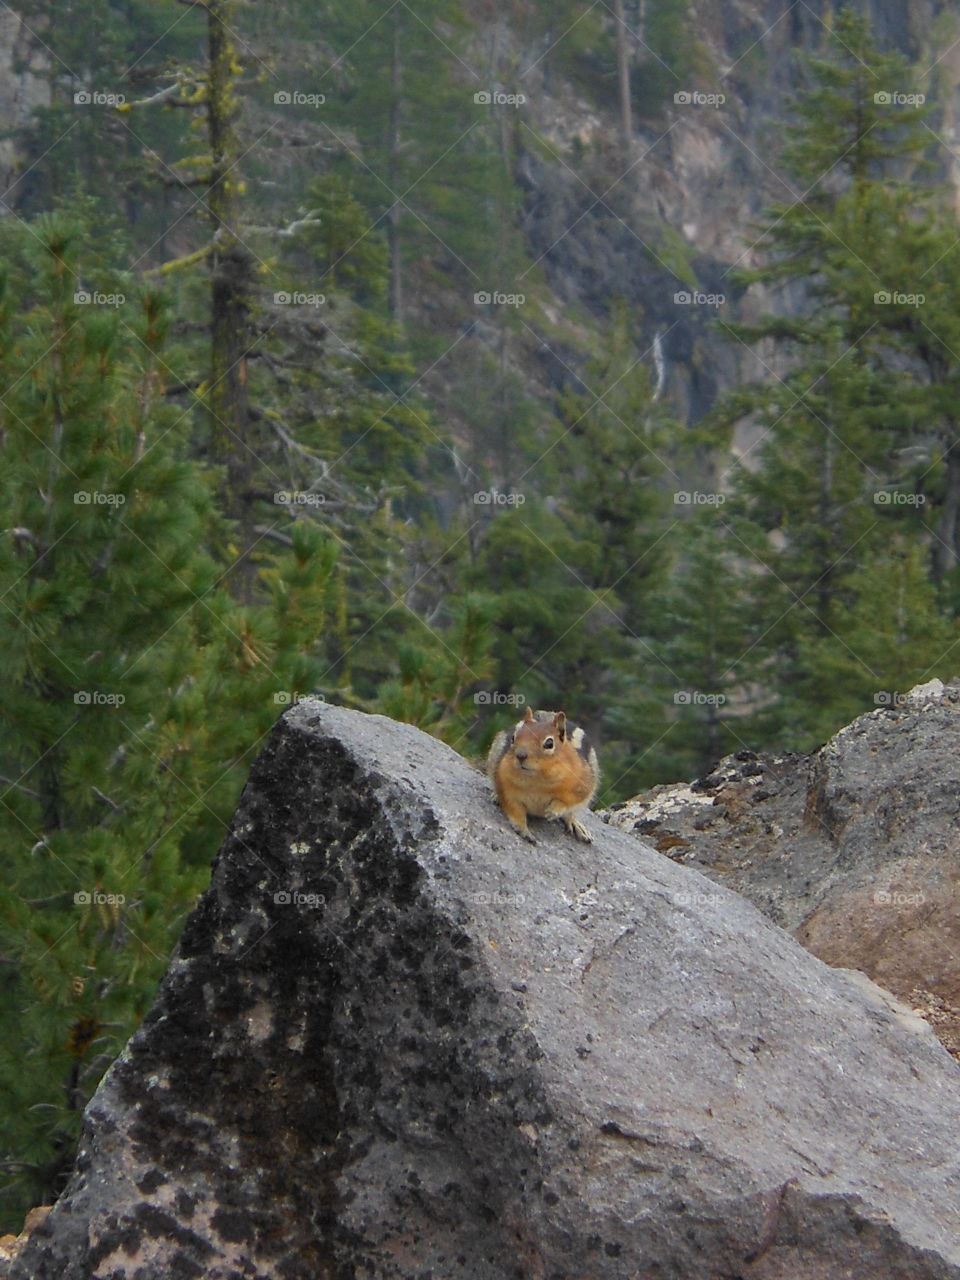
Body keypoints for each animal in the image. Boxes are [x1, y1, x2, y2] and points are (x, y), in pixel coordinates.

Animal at [488, 706, 601, 844]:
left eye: (549, 743)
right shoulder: (507, 790)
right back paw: (495, 796)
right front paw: (524, 830)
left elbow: (568, 802)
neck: (538, 780)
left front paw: (554, 809)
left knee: (571, 813)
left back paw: (577, 826)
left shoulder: (582, 785)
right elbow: (515, 811)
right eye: (513, 737)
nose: (520, 755)